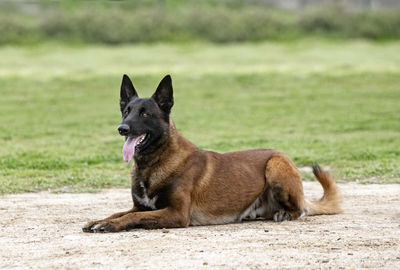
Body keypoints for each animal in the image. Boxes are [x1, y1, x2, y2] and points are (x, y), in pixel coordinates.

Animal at [83, 74, 342, 232]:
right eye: (126, 111)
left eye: (145, 114)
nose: (122, 128)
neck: (154, 162)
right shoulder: (141, 206)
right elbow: (117, 212)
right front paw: (99, 221)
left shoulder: (176, 214)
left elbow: (132, 217)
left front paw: (109, 225)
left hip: (275, 165)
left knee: (300, 210)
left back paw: (285, 214)